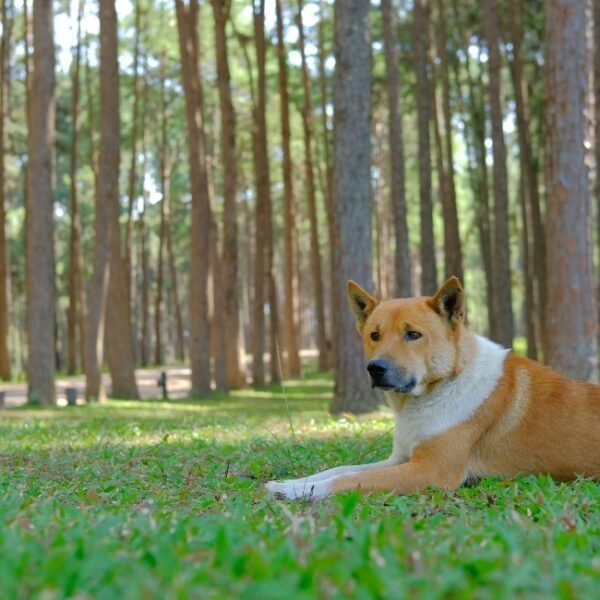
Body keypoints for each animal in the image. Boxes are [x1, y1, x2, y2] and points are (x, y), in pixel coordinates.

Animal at [268, 278, 600, 502]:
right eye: (374, 335)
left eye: (413, 335)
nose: (375, 368)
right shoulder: (400, 459)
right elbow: (341, 469)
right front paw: (293, 483)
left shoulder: (429, 471)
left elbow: (348, 480)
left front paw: (301, 490)